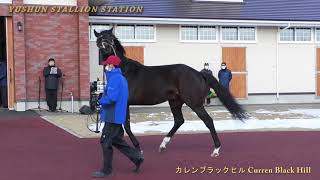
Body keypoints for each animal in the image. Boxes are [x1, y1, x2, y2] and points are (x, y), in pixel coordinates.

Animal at [94, 28, 246, 158]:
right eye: (100, 39)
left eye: (111, 39)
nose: (107, 48)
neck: (123, 71)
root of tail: (199, 73)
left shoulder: (125, 102)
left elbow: (126, 125)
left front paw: (138, 148)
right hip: (175, 101)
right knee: (179, 120)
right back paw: (163, 145)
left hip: (194, 103)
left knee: (208, 121)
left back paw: (216, 150)